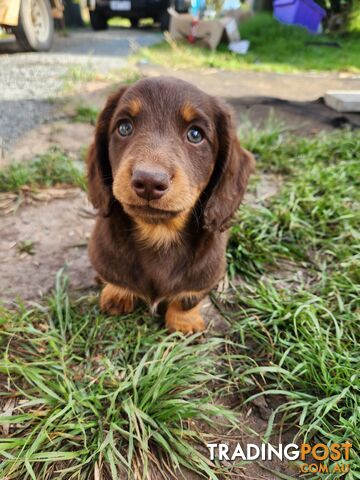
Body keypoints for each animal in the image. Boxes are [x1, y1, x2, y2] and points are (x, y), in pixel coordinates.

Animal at [87, 78, 255, 334]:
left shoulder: (205, 275)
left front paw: (184, 322)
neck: (159, 232)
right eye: (124, 128)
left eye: (195, 134)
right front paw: (117, 293)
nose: (148, 182)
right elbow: (115, 278)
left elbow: (188, 298)